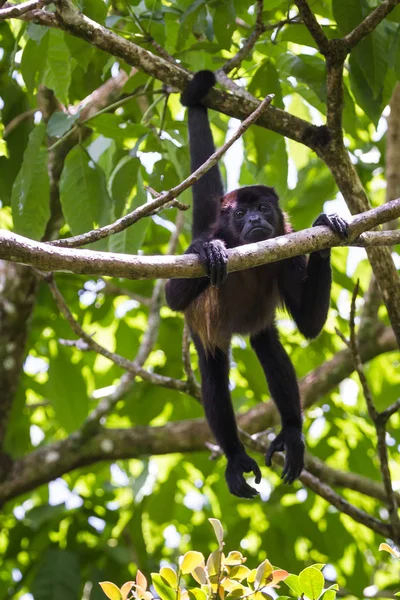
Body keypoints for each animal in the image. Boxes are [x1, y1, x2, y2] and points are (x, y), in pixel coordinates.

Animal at [165, 72, 346, 500]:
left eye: (262, 208)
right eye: (242, 212)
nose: (254, 221)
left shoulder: (287, 248)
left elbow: (309, 325)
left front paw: (325, 230)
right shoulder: (210, 237)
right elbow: (172, 296)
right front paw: (210, 251)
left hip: (258, 327)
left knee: (269, 347)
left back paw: (292, 433)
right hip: (206, 334)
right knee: (213, 373)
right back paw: (234, 457)